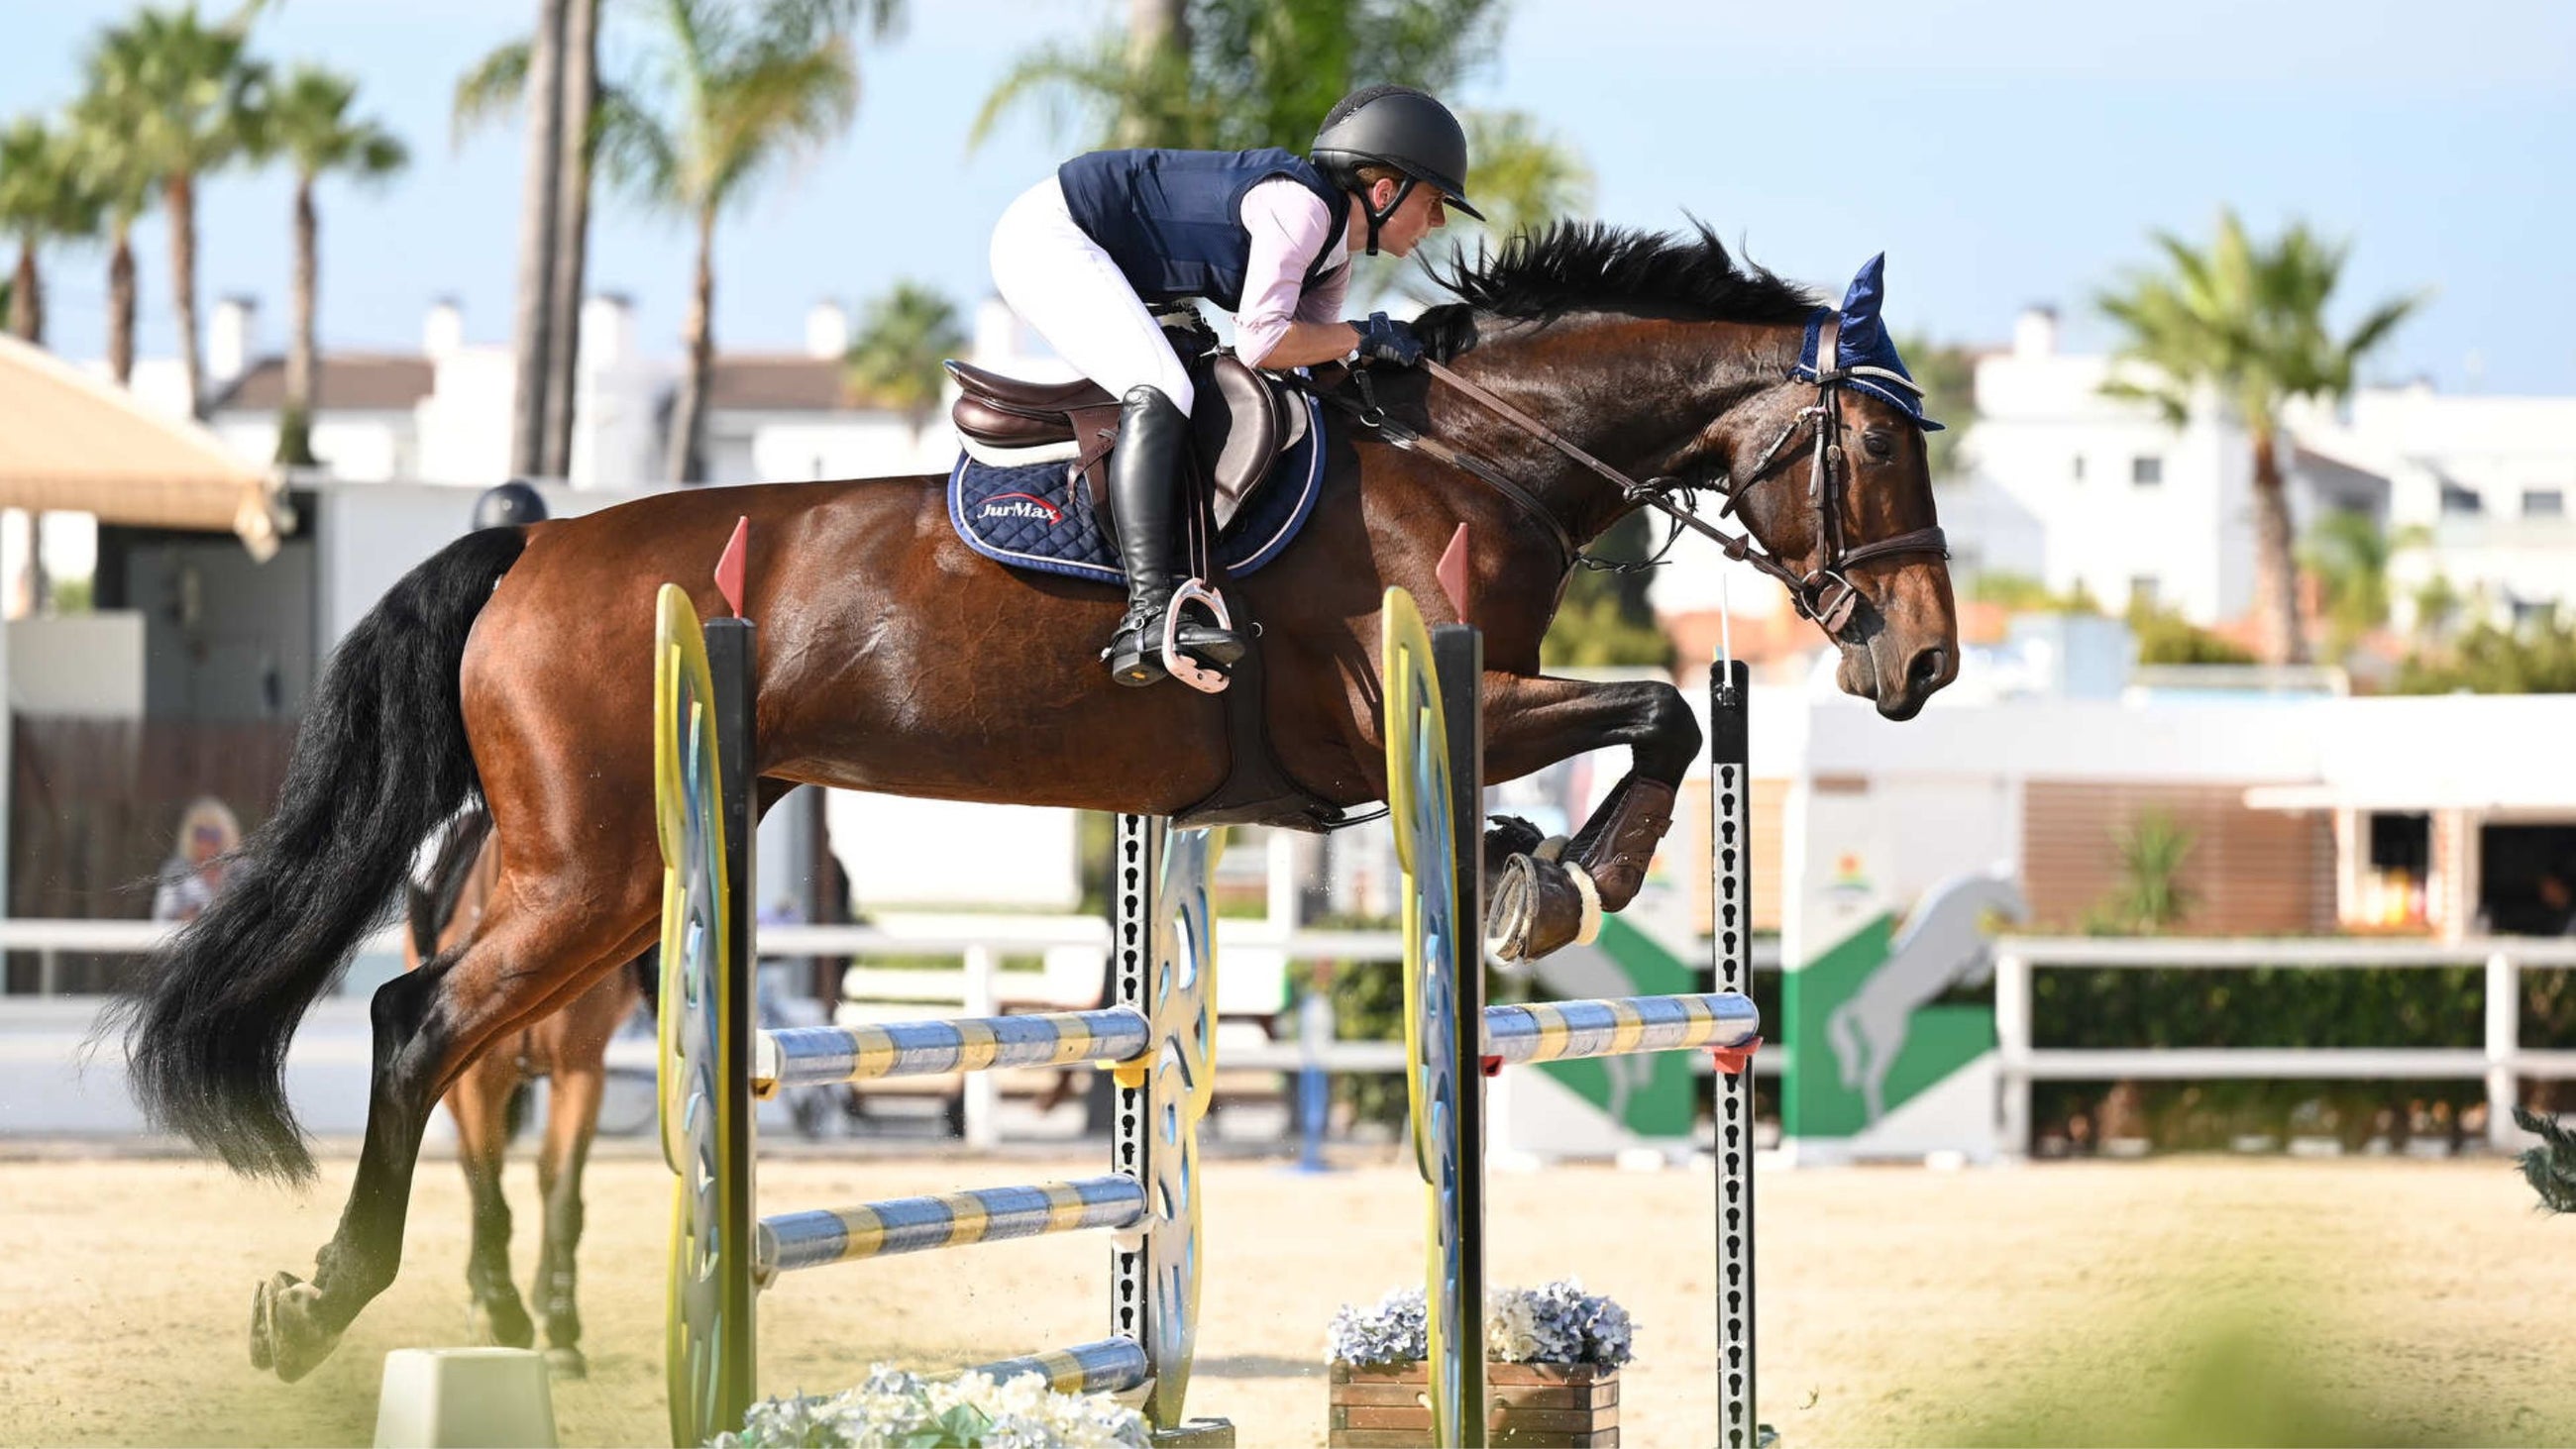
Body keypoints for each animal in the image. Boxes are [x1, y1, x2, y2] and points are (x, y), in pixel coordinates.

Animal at [404, 808, 644, 1379]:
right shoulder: (475, 1080)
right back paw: (483, 1299)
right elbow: (489, 1193)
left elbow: (561, 1193)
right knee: (475, 1175)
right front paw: (504, 1314)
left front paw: (560, 1326)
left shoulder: (580, 1071)